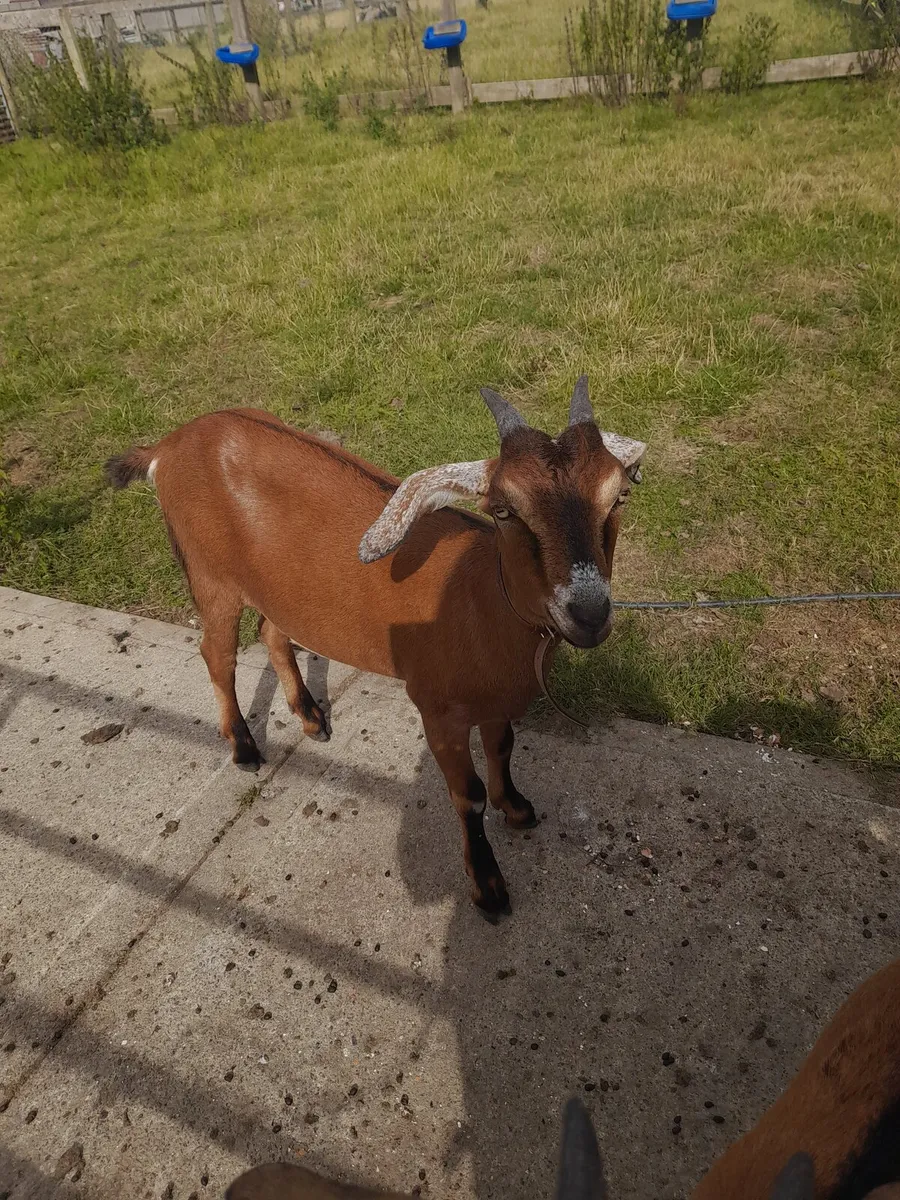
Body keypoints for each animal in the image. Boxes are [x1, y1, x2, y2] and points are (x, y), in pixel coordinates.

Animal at [106, 378, 646, 914]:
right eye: (504, 509)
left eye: (619, 495)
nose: (589, 615)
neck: (483, 598)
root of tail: (167, 446)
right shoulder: (437, 707)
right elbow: (467, 795)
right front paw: (488, 886)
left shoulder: (497, 703)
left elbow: (502, 748)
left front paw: (515, 807)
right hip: (211, 576)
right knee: (216, 653)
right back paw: (243, 746)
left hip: (279, 588)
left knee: (271, 632)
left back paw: (310, 716)